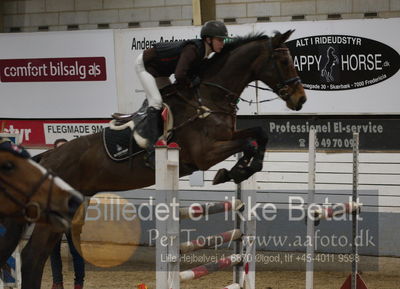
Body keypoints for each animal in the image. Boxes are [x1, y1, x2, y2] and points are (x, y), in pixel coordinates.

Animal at [3, 29, 306, 288]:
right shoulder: (205, 154)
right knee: (32, 256)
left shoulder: (228, 137)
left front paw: (239, 170)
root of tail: (46, 158)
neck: (208, 96)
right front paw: (234, 171)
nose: (300, 100)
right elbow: (250, 140)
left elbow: (258, 135)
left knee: (36, 256)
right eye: (283, 60)